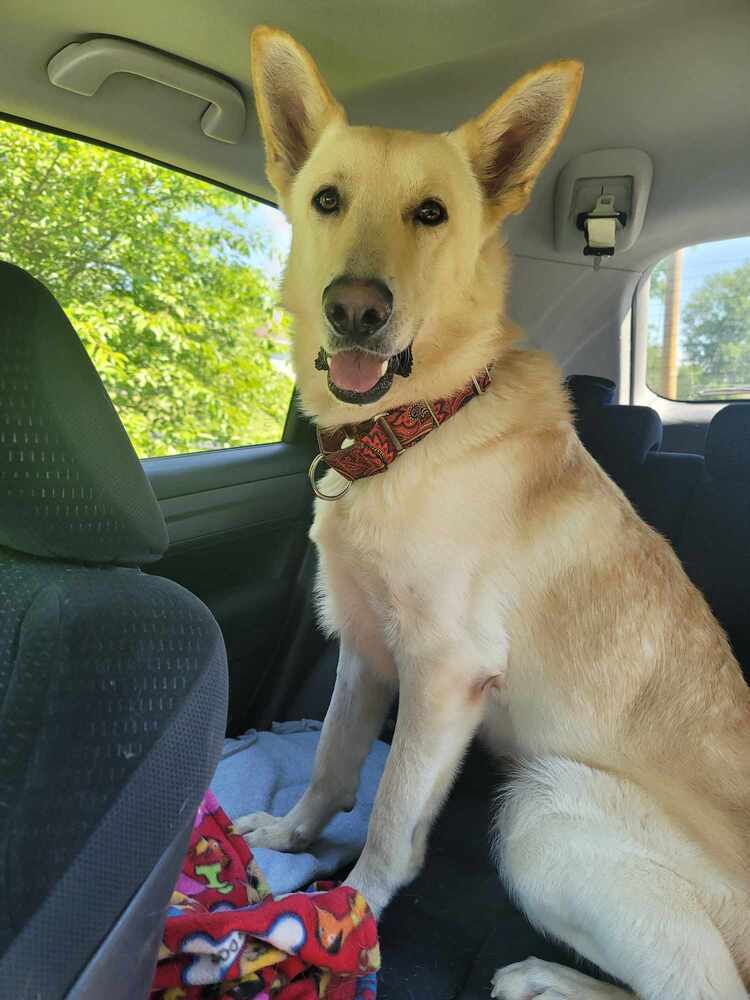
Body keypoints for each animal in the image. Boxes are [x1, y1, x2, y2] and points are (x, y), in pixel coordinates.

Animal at [238, 27, 750, 996]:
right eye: (326, 200)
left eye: (432, 214)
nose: (354, 310)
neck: (414, 430)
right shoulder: (364, 651)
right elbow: (330, 763)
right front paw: (290, 836)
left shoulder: (444, 676)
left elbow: (392, 815)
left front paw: (348, 912)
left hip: (545, 808)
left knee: (706, 989)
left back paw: (543, 977)